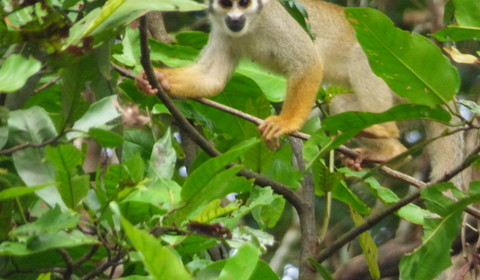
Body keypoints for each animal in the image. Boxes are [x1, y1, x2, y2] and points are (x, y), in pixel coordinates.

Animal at [136, 0, 464, 186]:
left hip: (404, 85)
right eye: (227, 5)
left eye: (244, 3)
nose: (235, 18)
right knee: (342, 101)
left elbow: (309, 64)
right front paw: (158, 80)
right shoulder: (222, 29)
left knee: (362, 58)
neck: (253, 24)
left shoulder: (281, 21)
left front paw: (285, 124)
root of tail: (441, 94)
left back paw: (386, 139)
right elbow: (212, 79)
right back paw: (385, 149)